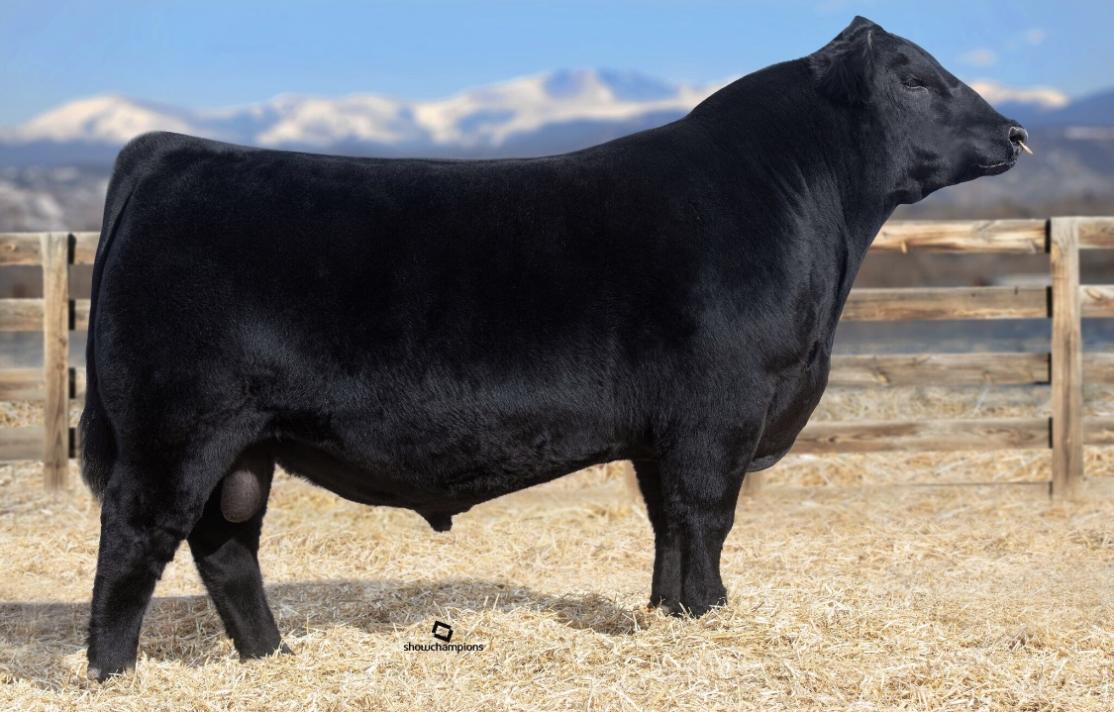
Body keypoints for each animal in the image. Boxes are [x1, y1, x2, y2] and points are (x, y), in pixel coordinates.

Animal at [80, 16, 1027, 680]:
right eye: (916, 79)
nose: (1016, 131)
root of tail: (173, 150)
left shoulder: (663, 433)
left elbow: (667, 526)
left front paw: (669, 616)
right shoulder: (720, 415)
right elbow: (707, 519)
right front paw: (712, 614)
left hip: (246, 444)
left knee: (225, 548)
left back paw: (271, 657)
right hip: (174, 429)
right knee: (136, 538)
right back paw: (113, 674)